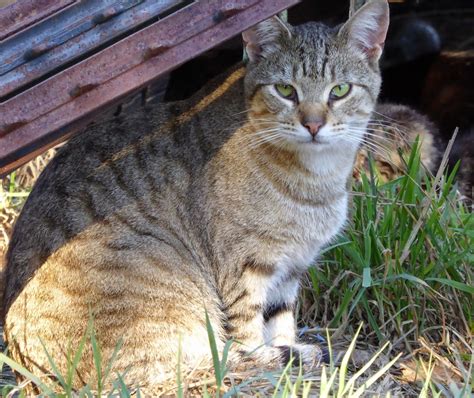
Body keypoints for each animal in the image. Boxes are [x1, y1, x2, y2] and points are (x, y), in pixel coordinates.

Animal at [1, 0, 390, 390]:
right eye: (285, 89)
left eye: (339, 90)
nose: (313, 124)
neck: (315, 179)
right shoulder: (245, 265)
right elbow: (249, 334)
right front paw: (278, 362)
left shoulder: (290, 268)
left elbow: (280, 322)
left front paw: (289, 356)